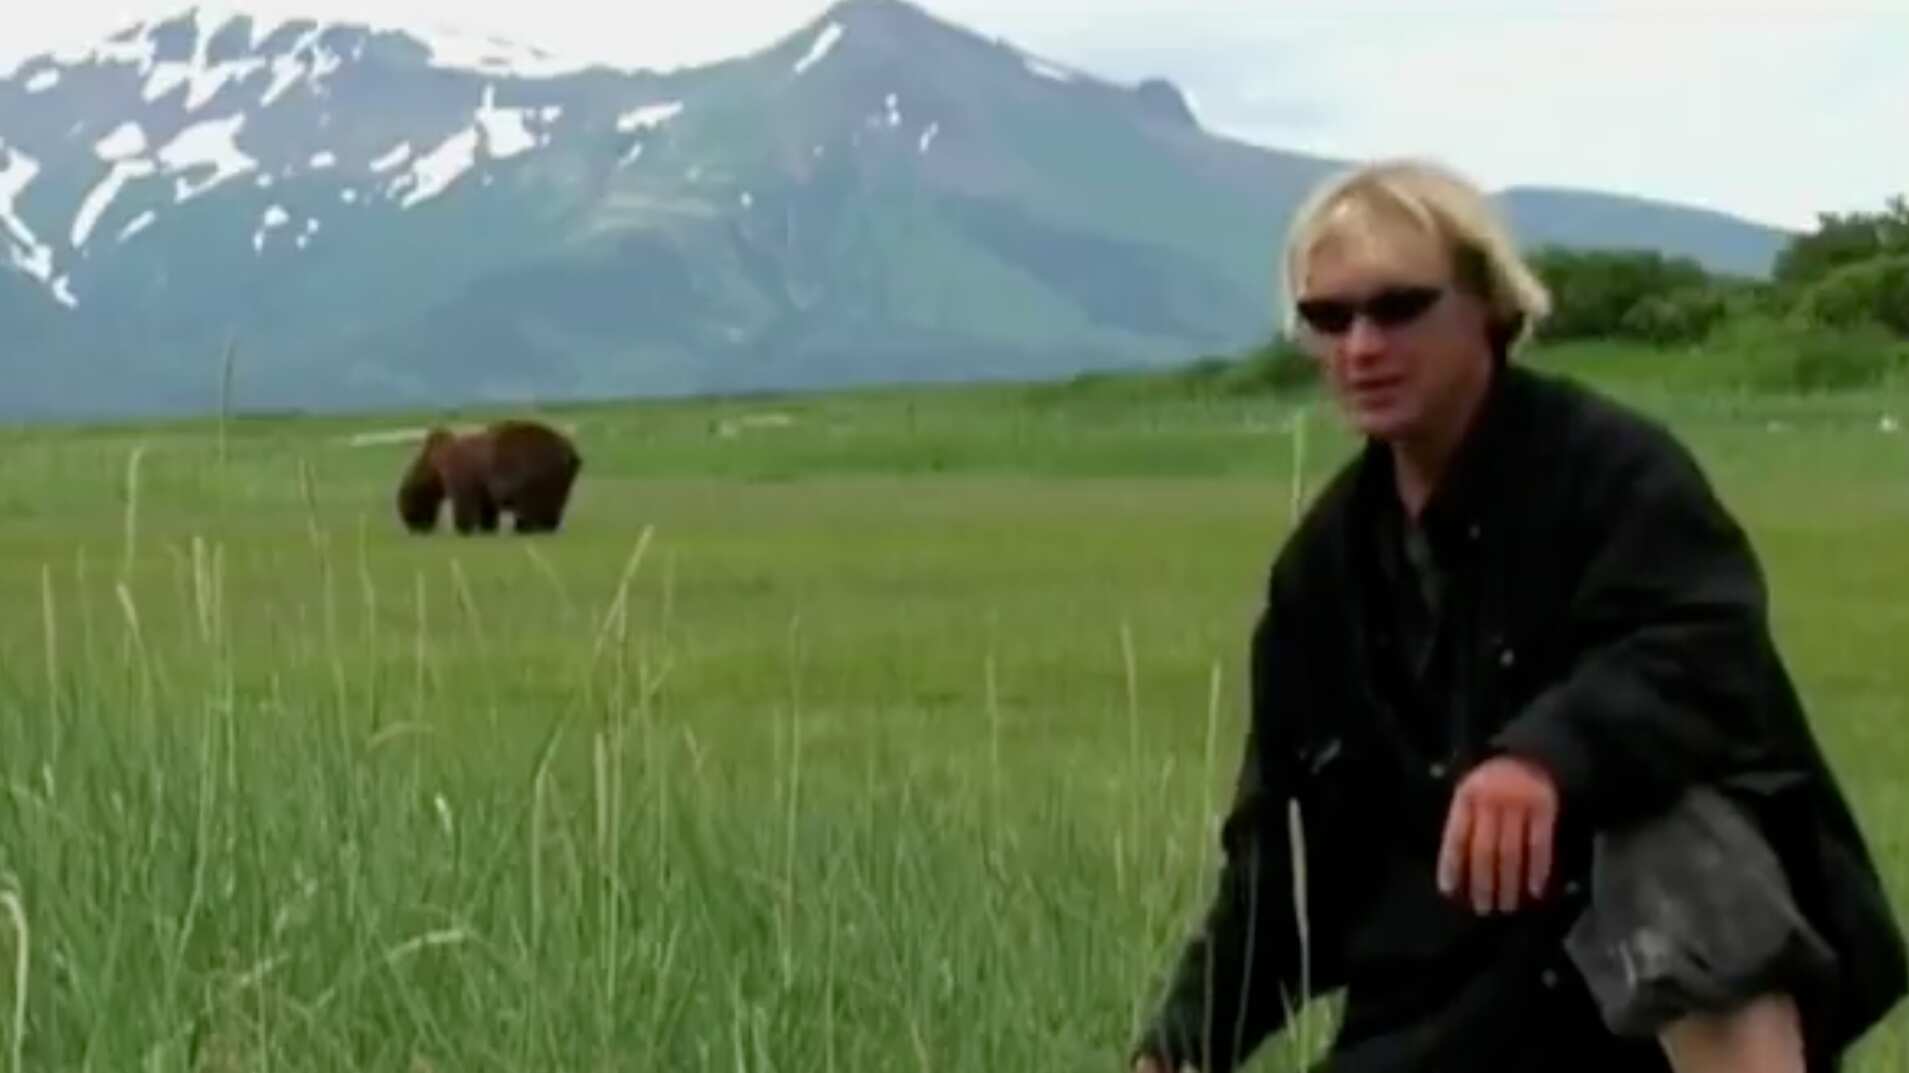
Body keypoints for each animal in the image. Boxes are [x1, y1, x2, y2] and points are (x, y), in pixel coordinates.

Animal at [396, 419, 582, 535]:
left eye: (406, 505)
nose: (413, 528)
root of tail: (571, 452)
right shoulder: (483, 485)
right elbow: (487, 508)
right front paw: (488, 527)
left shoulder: (462, 472)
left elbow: (464, 501)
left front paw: (463, 528)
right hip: (558, 479)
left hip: (537, 471)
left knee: (534, 504)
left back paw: (526, 527)